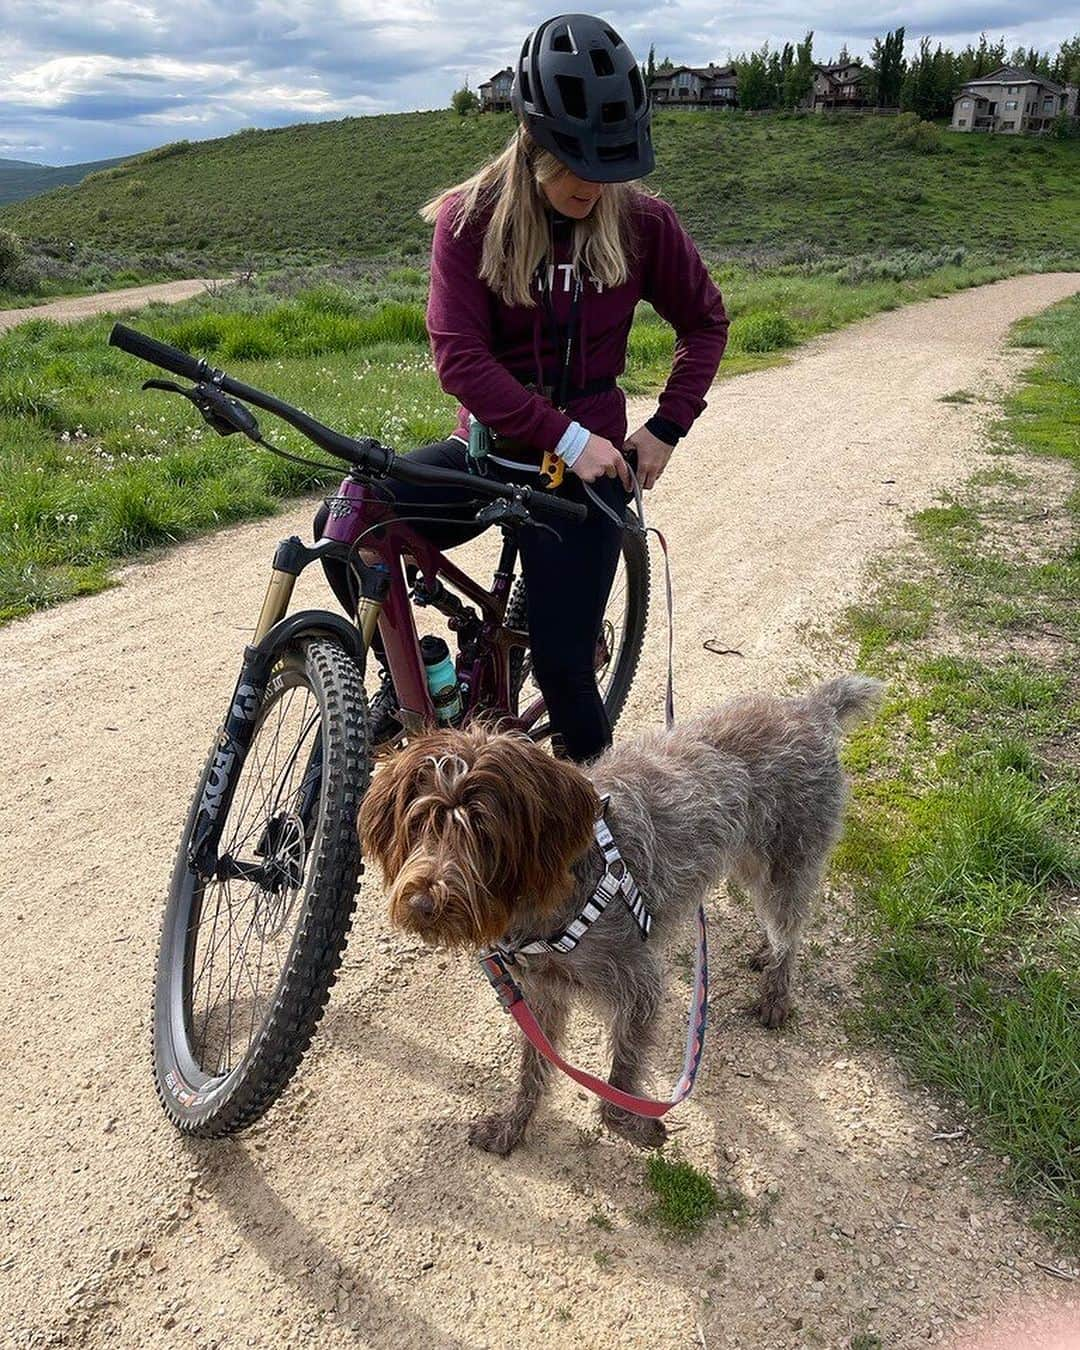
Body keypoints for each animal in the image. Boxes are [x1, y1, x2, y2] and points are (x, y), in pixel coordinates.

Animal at [359, 672, 880, 1150]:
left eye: (483, 833)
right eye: (419, 823)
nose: (423, 904)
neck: (550, 897)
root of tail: (809, 709)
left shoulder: (639, 987)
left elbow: (618, 1082)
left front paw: (636, 1125)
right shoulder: (542, 997)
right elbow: (534, 1069)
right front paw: (513, 1126)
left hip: (786, 865)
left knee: (789, 929)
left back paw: (776, 990)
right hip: (749, 861)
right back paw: (763, 954)